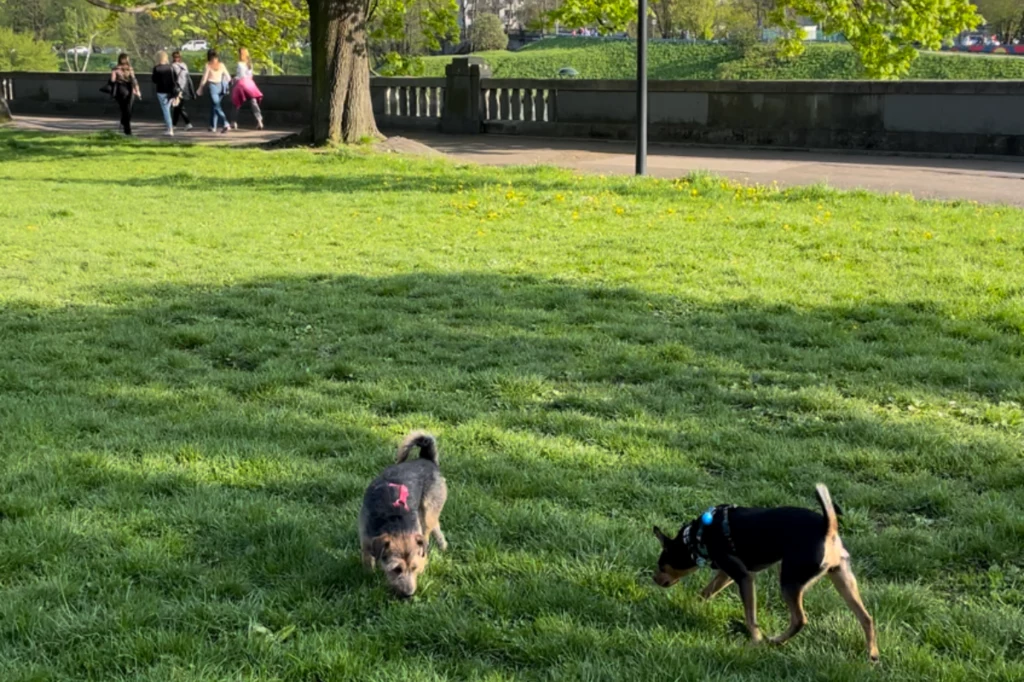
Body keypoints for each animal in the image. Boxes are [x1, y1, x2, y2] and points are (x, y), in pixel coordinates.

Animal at [358, 430, 446, 593]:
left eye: (414, 568)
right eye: (396, 569)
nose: (409, 594)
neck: (393, 520)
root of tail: (427, 459)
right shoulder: (365, 540)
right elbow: (367, 560)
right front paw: (368, 575)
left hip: (427, 512)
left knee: (429, 529)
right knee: (435, 525)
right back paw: (443, 545)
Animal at [655, 483, 880, 659]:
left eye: (661, 566)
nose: (654, 578)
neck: (694, 537)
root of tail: (828, 528)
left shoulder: (744, 576)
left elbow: (750, 617)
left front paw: (755, 640)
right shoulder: (728, 573)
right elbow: (706, 592)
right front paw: (693, 604)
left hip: (790, 580)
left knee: (799, 620)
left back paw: (774, 641)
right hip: (842, 578)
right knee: (866, 618)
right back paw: (873, 655)